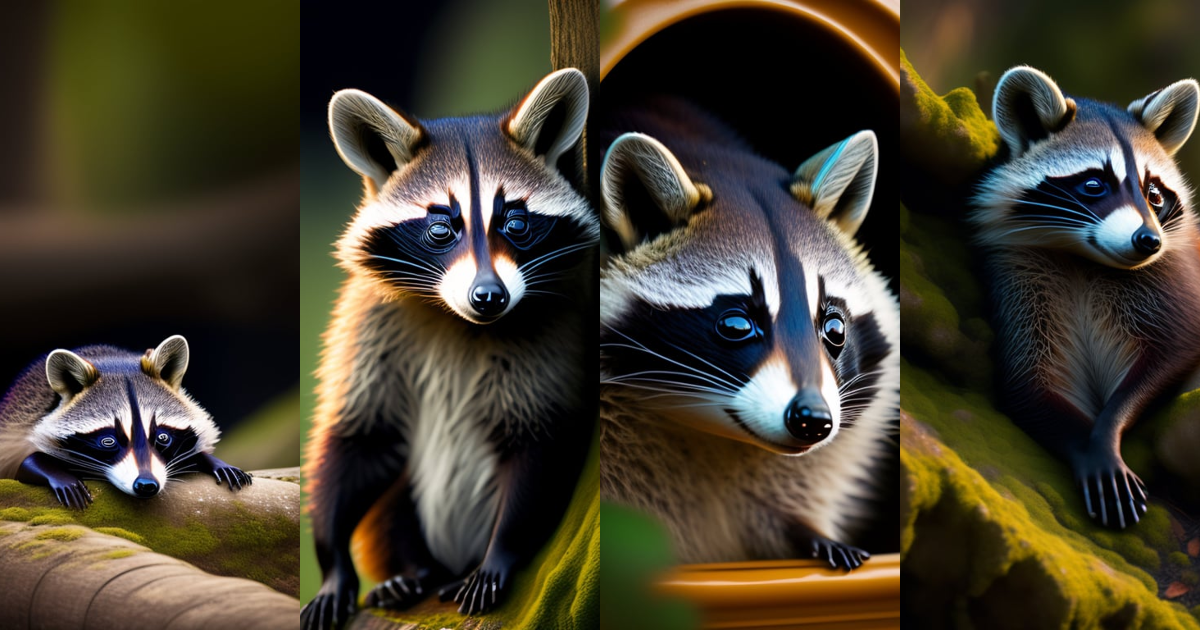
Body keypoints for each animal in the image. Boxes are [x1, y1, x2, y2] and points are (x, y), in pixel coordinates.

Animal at [0, 335, 250, 508]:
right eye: (108, 441)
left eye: (163, 437)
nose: (147, 485)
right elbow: (25, 463)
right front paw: (58, 475)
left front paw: (210, 460)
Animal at [301, 69, 598, 629]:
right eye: (441, 229)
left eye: (516, 224)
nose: (489, 296)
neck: (458, 318)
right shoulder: (368, 326)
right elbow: (359, 438)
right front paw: (332, 562)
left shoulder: (551, 334)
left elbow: (538, 445)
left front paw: (503, 551)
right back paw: (412, 569)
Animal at [972, 66, 1200, 529]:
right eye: (1094, 185)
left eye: (1154, 194)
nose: (1148, 240)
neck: (1083, 258)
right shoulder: (1018, 280)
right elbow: (1028, 382)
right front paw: (1089, 447)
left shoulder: (1171, 280)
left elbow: (1177, 349)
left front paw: (1108, 431)